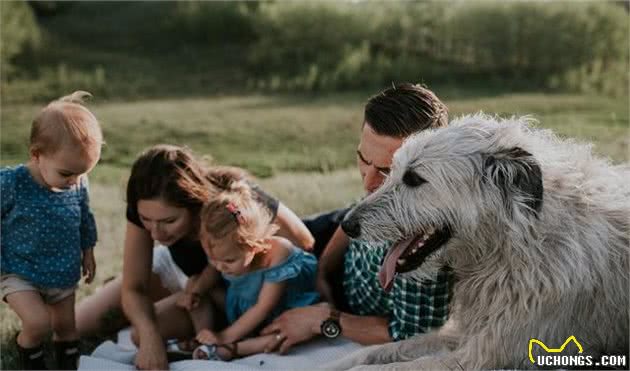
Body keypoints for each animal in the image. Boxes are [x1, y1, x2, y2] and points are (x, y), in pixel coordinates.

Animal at [328, 115, 628, 370]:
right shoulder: (465, 331)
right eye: (391, 170)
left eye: (413, 178)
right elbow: (375, 352)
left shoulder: (483, 356)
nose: (347, 224)